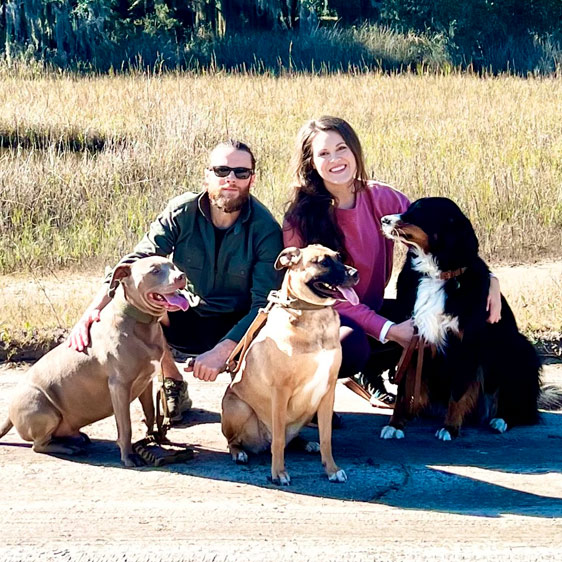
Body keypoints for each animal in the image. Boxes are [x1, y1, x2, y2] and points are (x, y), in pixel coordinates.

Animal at [0, 256, 188, 466]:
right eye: (154, 270)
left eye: (172, 266)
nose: (181, 276)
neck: (141, 322)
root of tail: (9, 414)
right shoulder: (119, 386)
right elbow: (125, 426)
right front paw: (129, 456)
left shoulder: (146, 382)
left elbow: (149, 412)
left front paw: (153, 438)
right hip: (44, 410)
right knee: (38, 445)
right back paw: (69, 448)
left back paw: (76, 438)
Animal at [220, 243, 356, 484]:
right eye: (323, 262)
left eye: (340, 257)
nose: (355, 274)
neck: (314, 315)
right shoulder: (281, 390)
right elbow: (279, 441)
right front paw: (279, 473)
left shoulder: (328, 389)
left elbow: (327, 437)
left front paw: (332, 469)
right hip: (239, 408)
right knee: (235, 441)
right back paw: (239, 453)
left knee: (292, 437)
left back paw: (307, 443)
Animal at [378, 195, 544, 440]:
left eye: (418, 211)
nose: (384, 220)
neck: (437, 275)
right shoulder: (411, 341)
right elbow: (402, 391)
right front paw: (396, 425)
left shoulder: (465, 345)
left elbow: (458, 393)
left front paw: (449, 428)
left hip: (520, 353)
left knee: (524, 411)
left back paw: (501, 420)